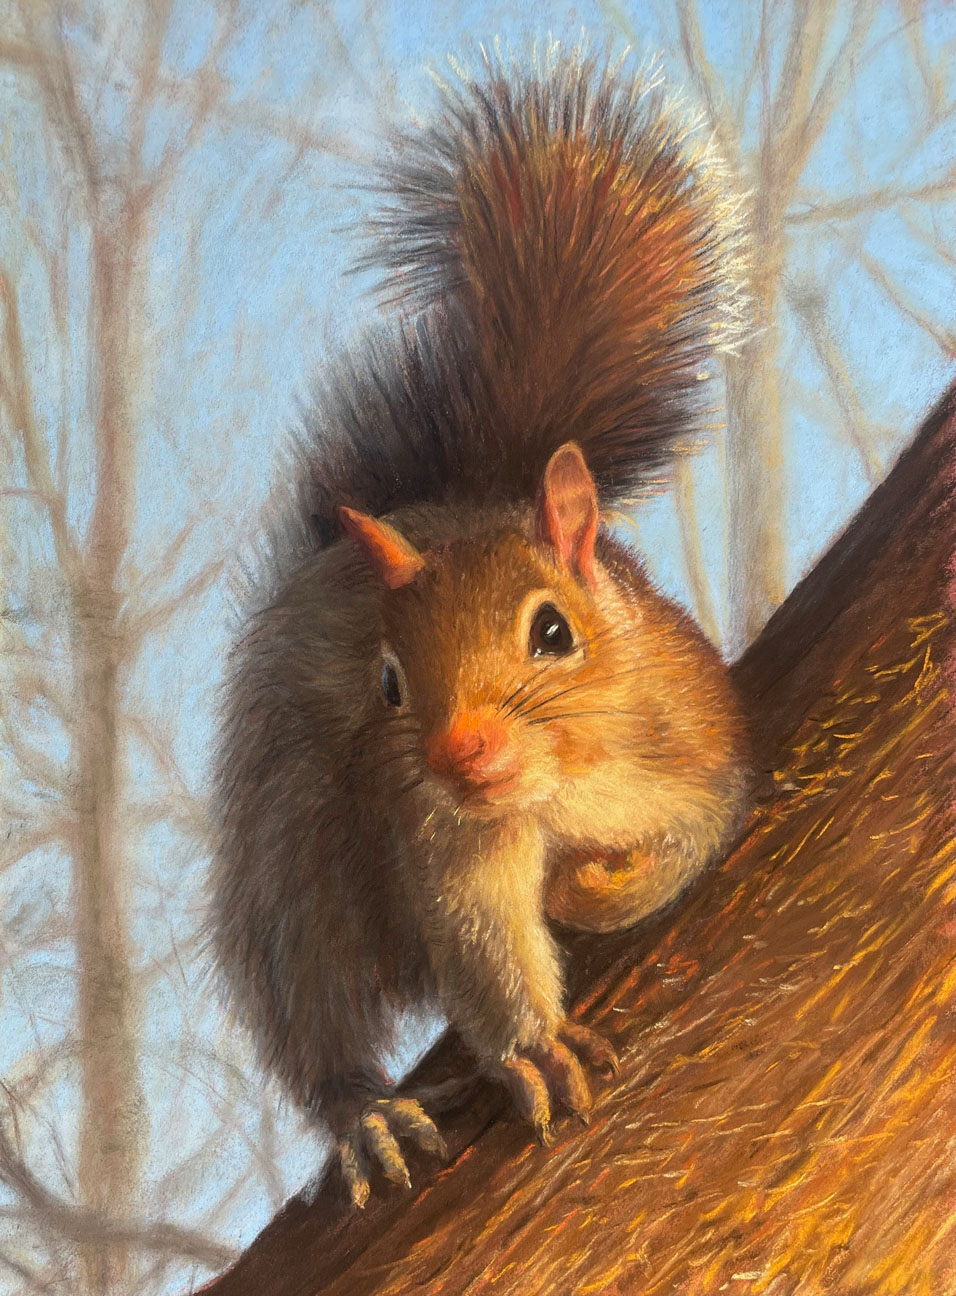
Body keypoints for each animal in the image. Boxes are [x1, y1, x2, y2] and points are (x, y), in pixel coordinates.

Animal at [209, 52, 752, 1208]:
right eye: (388, 683)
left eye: (553, 633)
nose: (460, 751)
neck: (562, 784)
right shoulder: (445, 846)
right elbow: (483, 947)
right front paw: (530, 1047)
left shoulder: (699, 732)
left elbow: (698, 832)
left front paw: (599, 891)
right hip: (292, 853)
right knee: (312, 1005)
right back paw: (365, 1116)